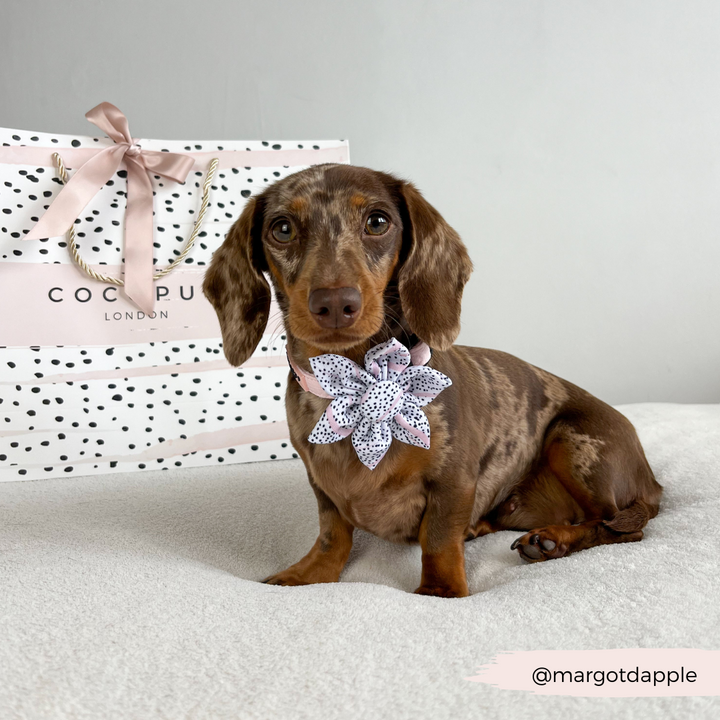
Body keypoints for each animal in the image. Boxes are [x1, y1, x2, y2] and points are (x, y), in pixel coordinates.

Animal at [202, 166, 664, 600]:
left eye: (377, 221)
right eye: (281, 228)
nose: (334, 303)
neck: (358, 385)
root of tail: (653, 483)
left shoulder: (453, 478)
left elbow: (438, 538)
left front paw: (439, 591)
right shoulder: (321, 485)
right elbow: (333, 532)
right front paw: (310, 573)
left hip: (575, 442)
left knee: (618, 526)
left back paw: (553, 540)